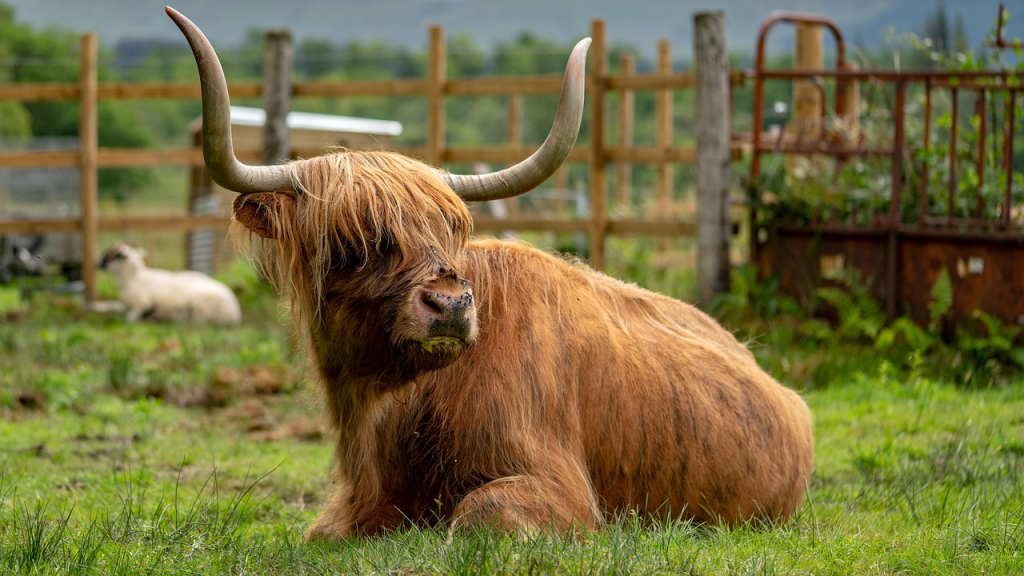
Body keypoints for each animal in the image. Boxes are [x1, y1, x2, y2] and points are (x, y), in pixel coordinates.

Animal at [166, 7, 814, 539]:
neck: (392, 407)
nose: (451, 305)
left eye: (449, 230)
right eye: (353, 241)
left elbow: (478, 516)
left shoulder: (559, 487)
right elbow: (323, 532)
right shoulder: (357, 504)